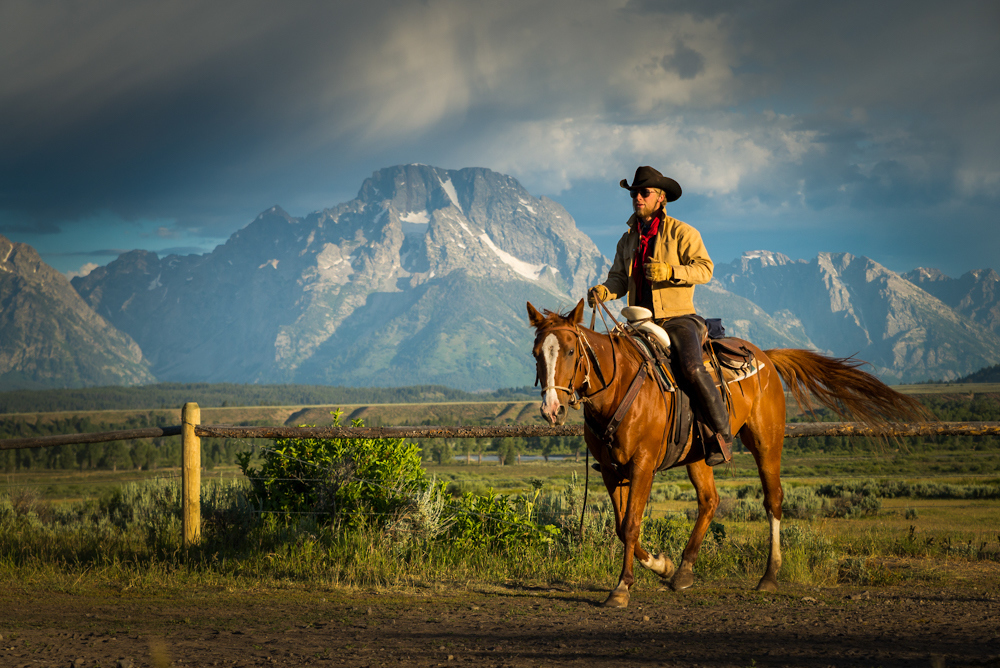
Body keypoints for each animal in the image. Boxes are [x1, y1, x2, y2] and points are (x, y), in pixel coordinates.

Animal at [528, 300, 924, 608]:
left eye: (570, 351)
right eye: (536, 354)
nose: (551, 409)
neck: (620, 386)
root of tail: (765, 357)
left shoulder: (642, 465)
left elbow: (630, 526)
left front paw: (622, 589)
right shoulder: (613, 471)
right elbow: (624, 528)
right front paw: (662, 565)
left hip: (766, 442)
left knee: (773, 500)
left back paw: (769, 576)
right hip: (701, 455)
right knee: (710, 501)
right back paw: (683, 571)